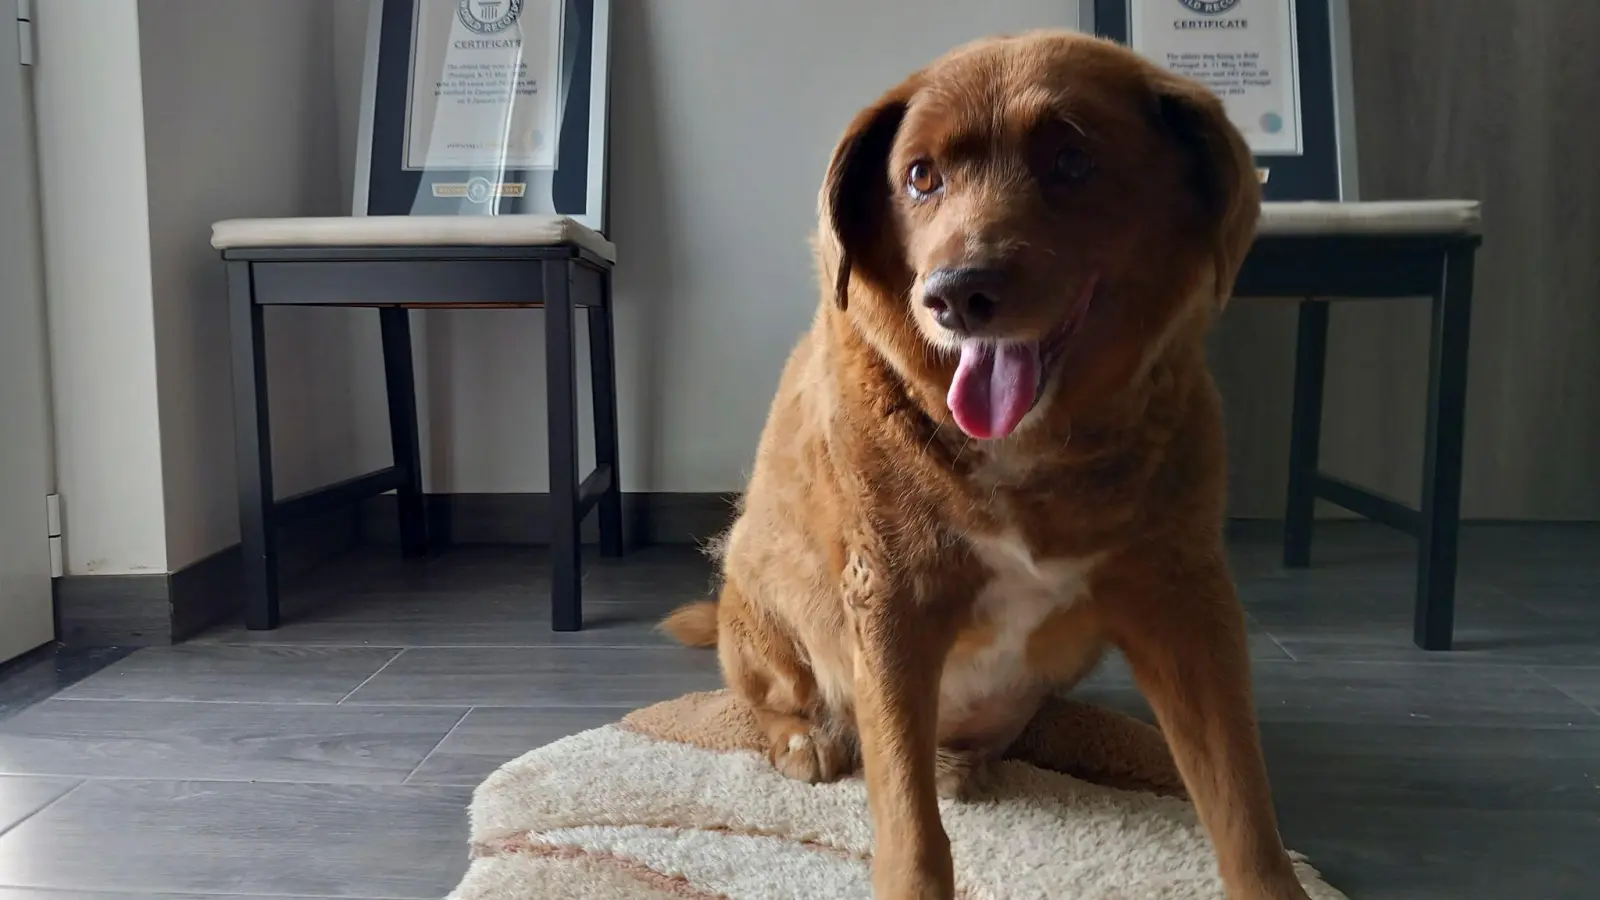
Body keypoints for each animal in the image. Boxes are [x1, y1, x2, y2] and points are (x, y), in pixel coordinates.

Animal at [662, 28, 1312, 896]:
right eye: (919, 176)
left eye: (1071, 160)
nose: (954, 295)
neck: (1027, 449)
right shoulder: (892, 598)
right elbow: (909, 827)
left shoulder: (1185, 597)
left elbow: (1242, 807)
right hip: (759, 606)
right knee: (774, 697)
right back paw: (808, 737)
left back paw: (963, 762)